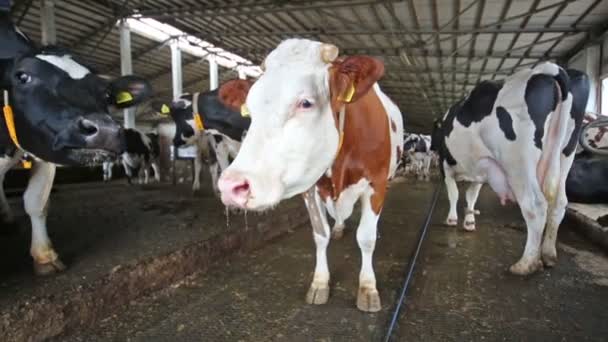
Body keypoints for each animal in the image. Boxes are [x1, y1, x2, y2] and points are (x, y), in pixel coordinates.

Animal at [0, 12, 152, 276]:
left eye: (106, 95)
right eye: (22, 76)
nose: (105, 131)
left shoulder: (45, 149)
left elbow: (37, 202)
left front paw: (45, 256)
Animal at [217, 38, 404, 312]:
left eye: (305, 103)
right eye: (248, 110)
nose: (230, 186)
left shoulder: (376, 183)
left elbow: (366, 238)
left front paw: (368, 288)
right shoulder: (311, 188)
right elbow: (320, 235)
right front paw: (320, 283)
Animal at [430, 64, 592, 276]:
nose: (431, 147)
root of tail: (548, 69)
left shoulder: (445, 165)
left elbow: (454, 193)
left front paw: (451, 219)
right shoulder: (480, 170)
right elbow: (470, 196)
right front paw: (469, 221)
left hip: (518, 161)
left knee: (535, 205)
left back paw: (526, 264)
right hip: (565, 155)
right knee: (558, 203)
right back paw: (548, 254)